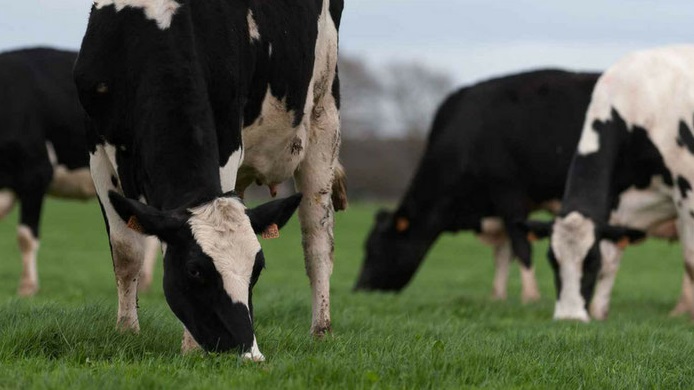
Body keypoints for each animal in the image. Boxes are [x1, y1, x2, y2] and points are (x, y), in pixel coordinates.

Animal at [75, 0, 346, 362]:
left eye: (257, 269)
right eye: (195, 270)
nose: (249, 354)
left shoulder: (228, 135)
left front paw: (190, 347)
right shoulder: (97, 146)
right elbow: (126, 253)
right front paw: (127, 331)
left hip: (323, 117)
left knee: (318, 244)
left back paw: (321, 330)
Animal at [354, 69, 604, 302]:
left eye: (375, 249)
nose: (358, 289)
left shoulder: (508, 194)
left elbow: (521, 246)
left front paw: (530, 297)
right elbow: (502, 253)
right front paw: (498, 296)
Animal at [524, 45, 694, 322]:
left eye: (590, 260)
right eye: (552, 259)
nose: (569, 317)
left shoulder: (687, 194)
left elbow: (690, 260)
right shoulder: (616, 208)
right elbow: (611, 261)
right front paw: (598, 312)